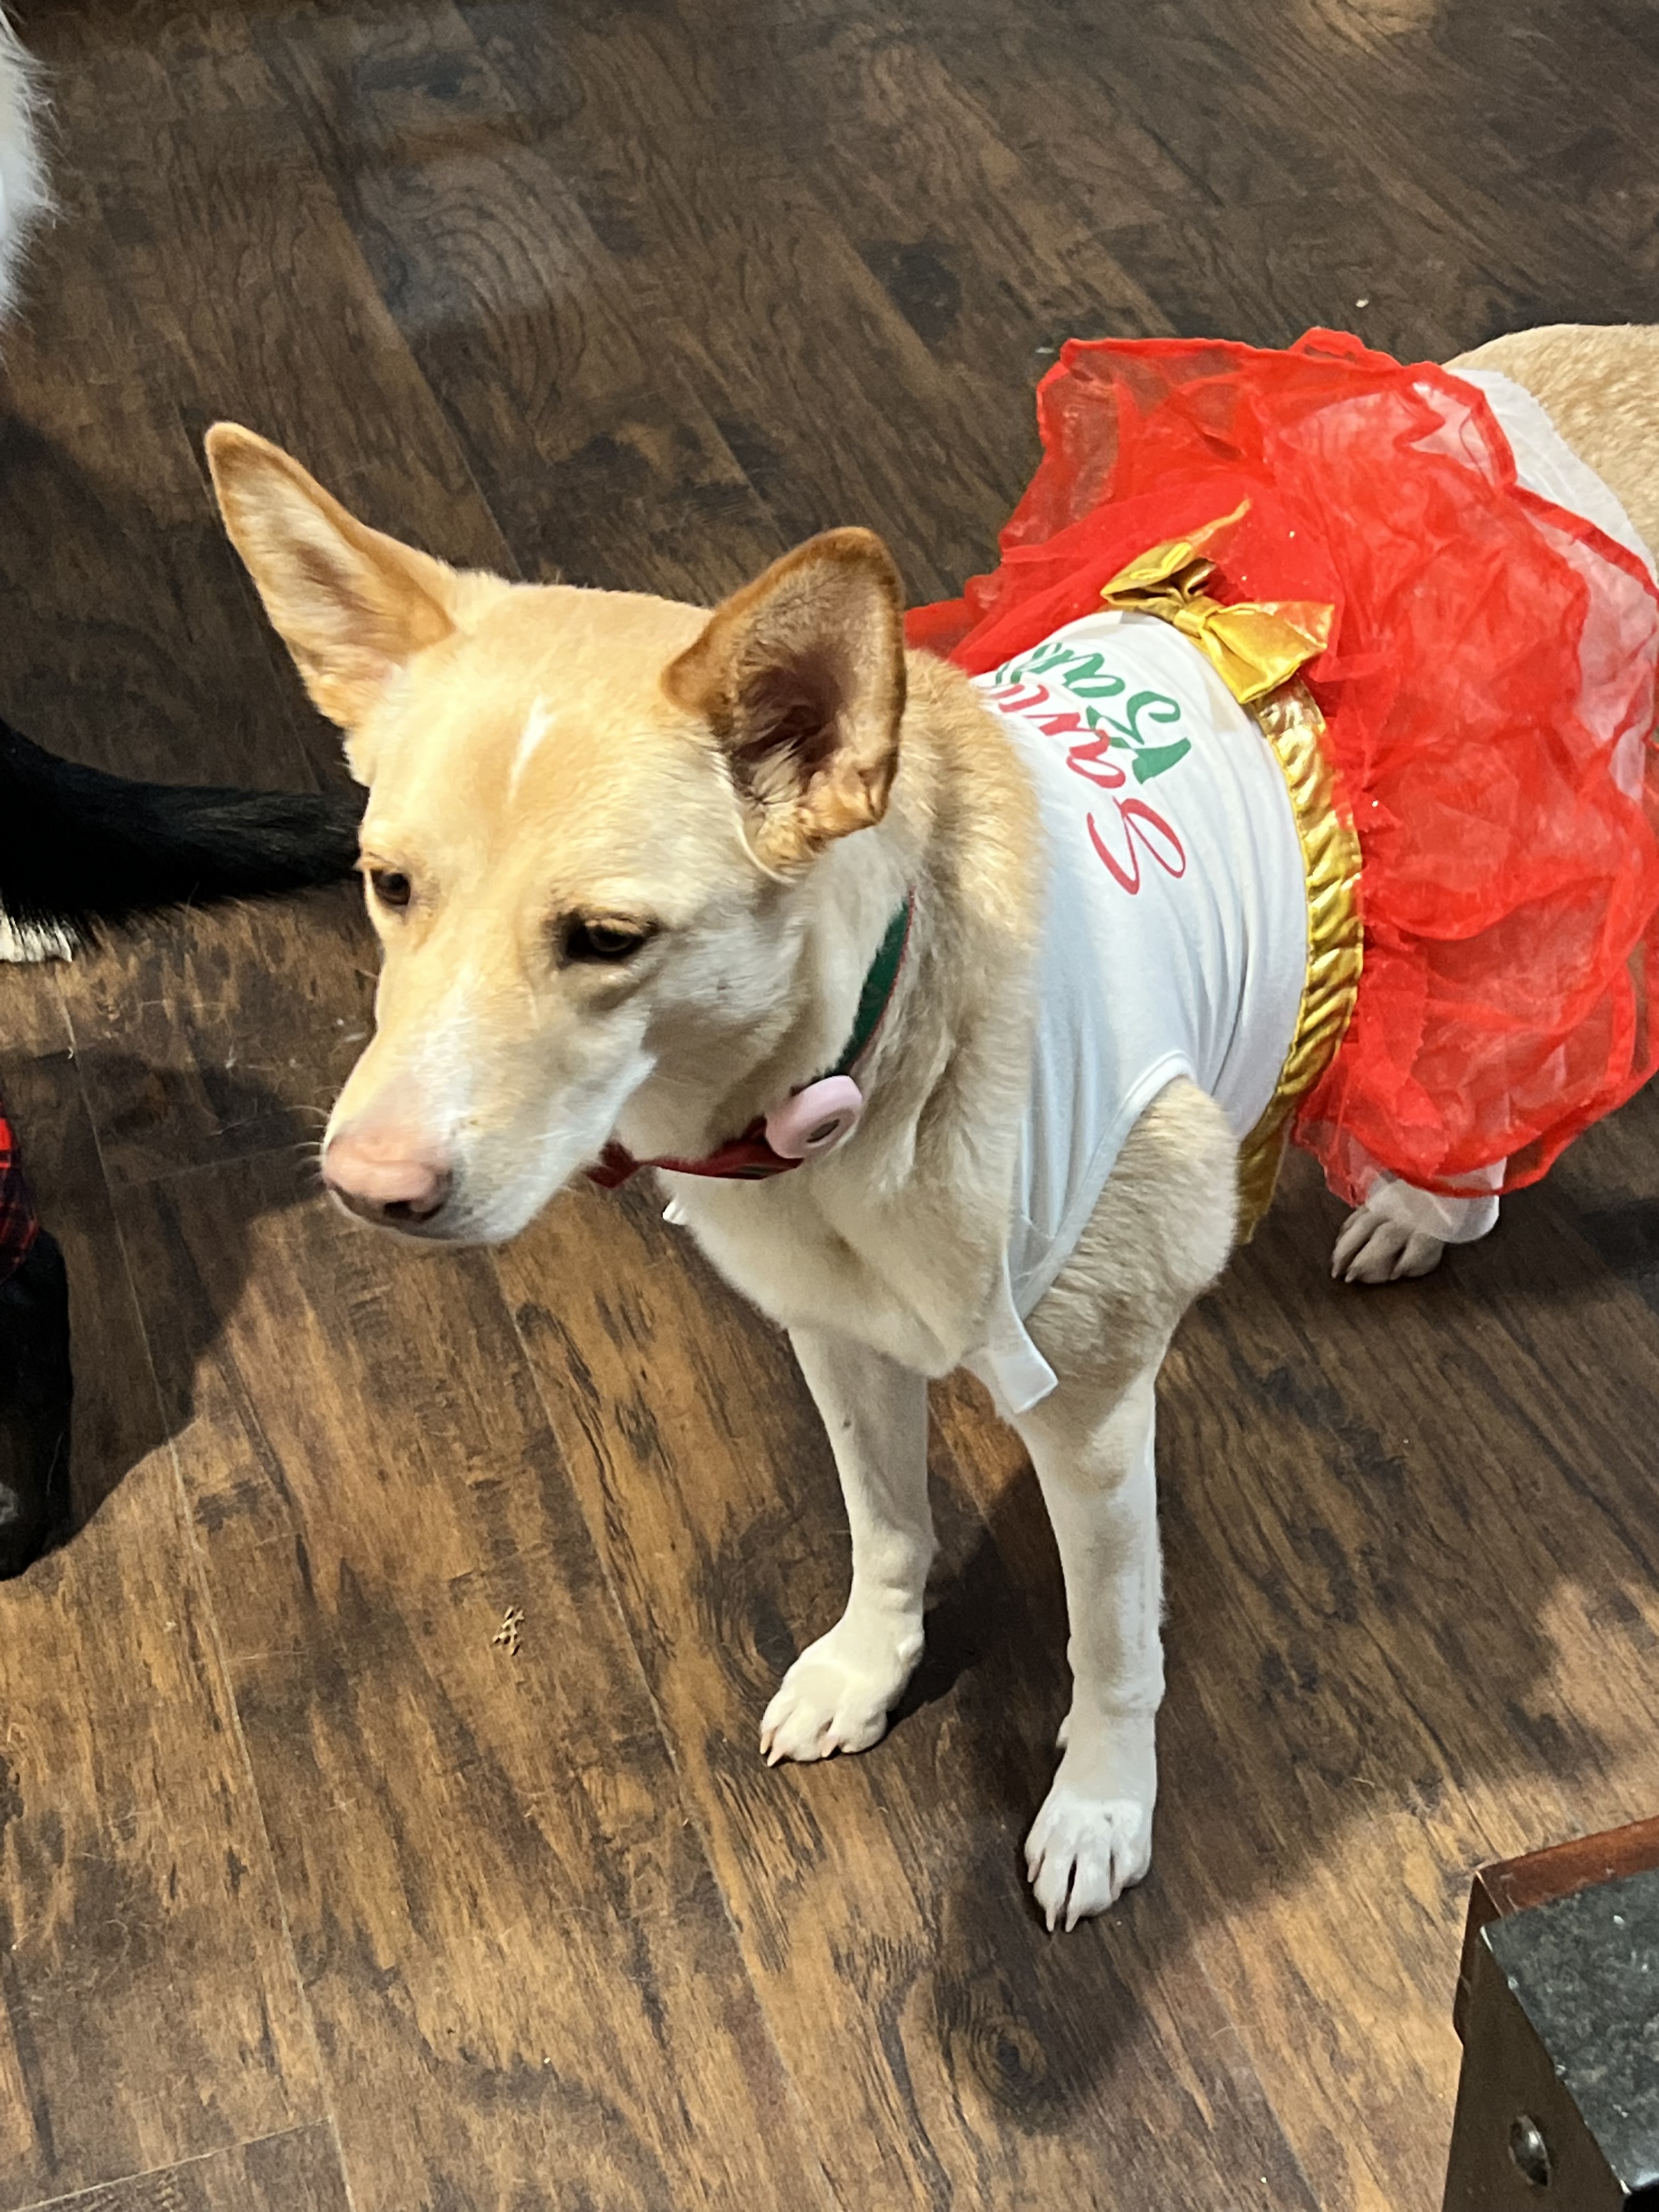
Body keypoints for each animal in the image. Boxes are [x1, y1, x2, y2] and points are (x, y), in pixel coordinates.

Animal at [201, 321, 1659, 1927]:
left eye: (605, 940)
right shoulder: (835, 1339)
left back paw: (1425, 1201)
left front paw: (1102, 1807)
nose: (364, 1188)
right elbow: (886, 1524)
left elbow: (1114, 1643)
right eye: (387, 885)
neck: (842, 1075)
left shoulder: (1095, 1422)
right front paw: (869, 1665)